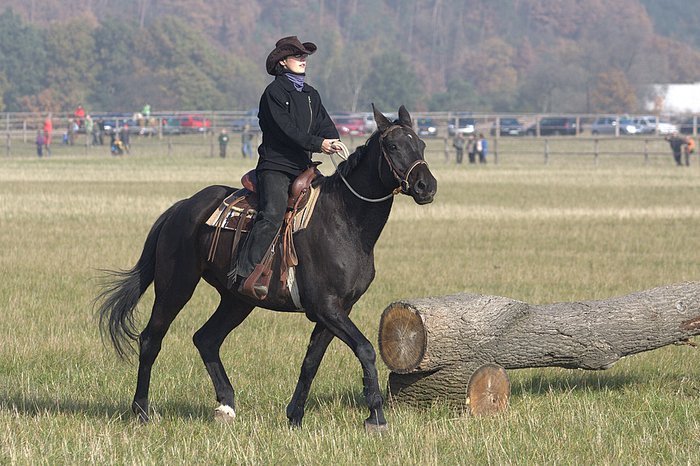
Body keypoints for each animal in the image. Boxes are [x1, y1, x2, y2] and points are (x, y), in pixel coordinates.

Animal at [95, 104, 438, 432]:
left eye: (421, 144)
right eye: (393, 145)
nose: (427, 186)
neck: (344, 219)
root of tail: (181, 208)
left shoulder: (340, 308)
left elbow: (311, 361)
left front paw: (295, 416)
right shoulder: (326, 307)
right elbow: (365, 349)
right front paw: (376, 416)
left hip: (236, 300)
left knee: (206, 339)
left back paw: (226, 406)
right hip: (175, 287)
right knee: (151, 339)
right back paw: (141, 411)